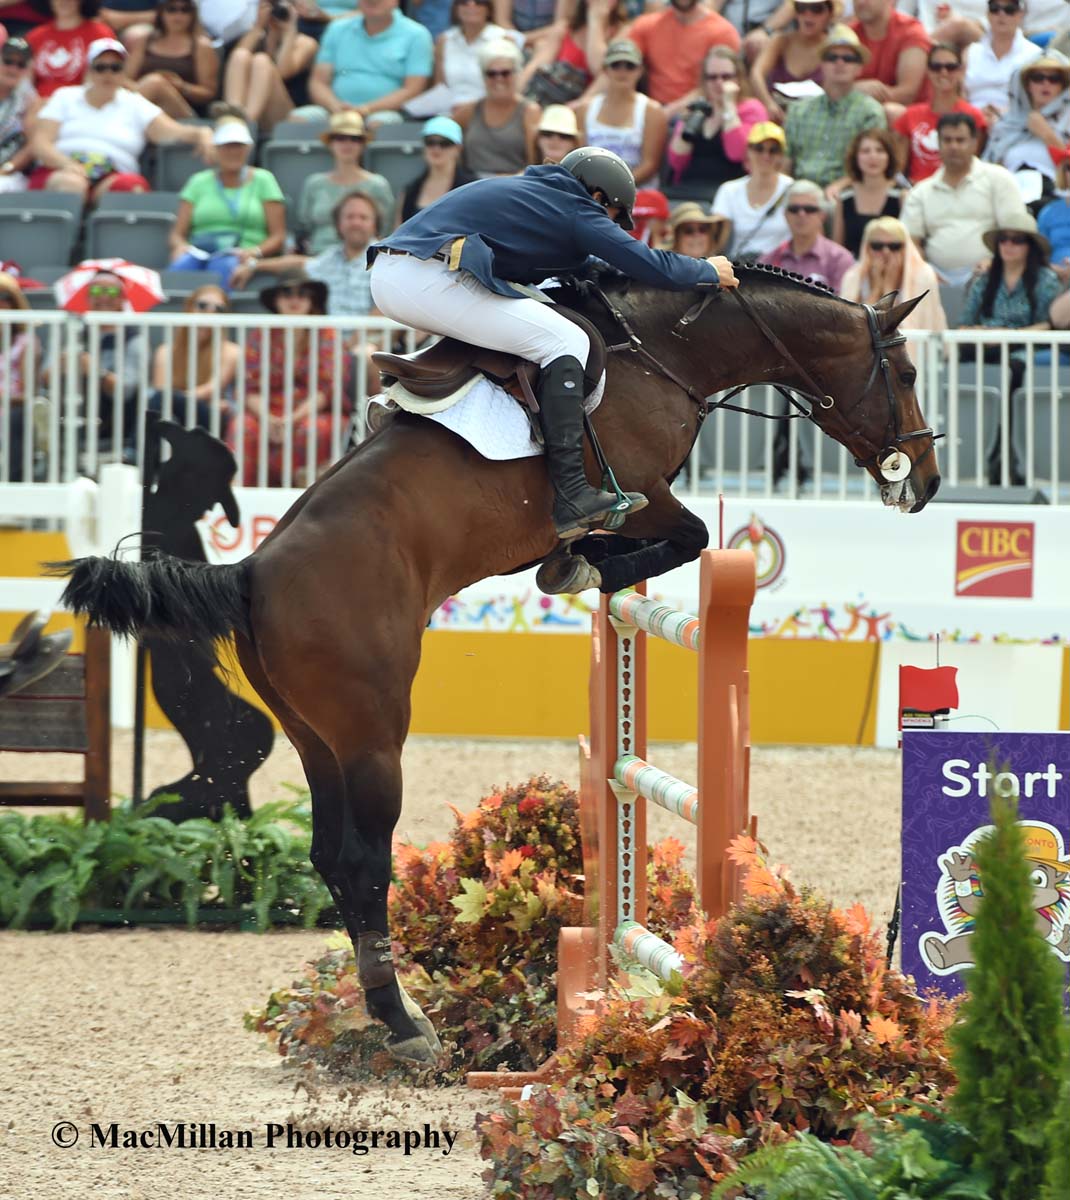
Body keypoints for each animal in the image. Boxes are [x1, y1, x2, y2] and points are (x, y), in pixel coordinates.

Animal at [52, 267, 935, 1065]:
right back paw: (406, 1026)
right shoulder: (644, 491)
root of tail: (251, 574)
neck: (665, 351)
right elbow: (682, 535)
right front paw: (585, 565)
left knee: (331, 855)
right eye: (907, 373)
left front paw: (578, 565)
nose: (923, 482)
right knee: (363, 861)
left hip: (314, 737)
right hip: (373, 734)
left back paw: (387, 1013)